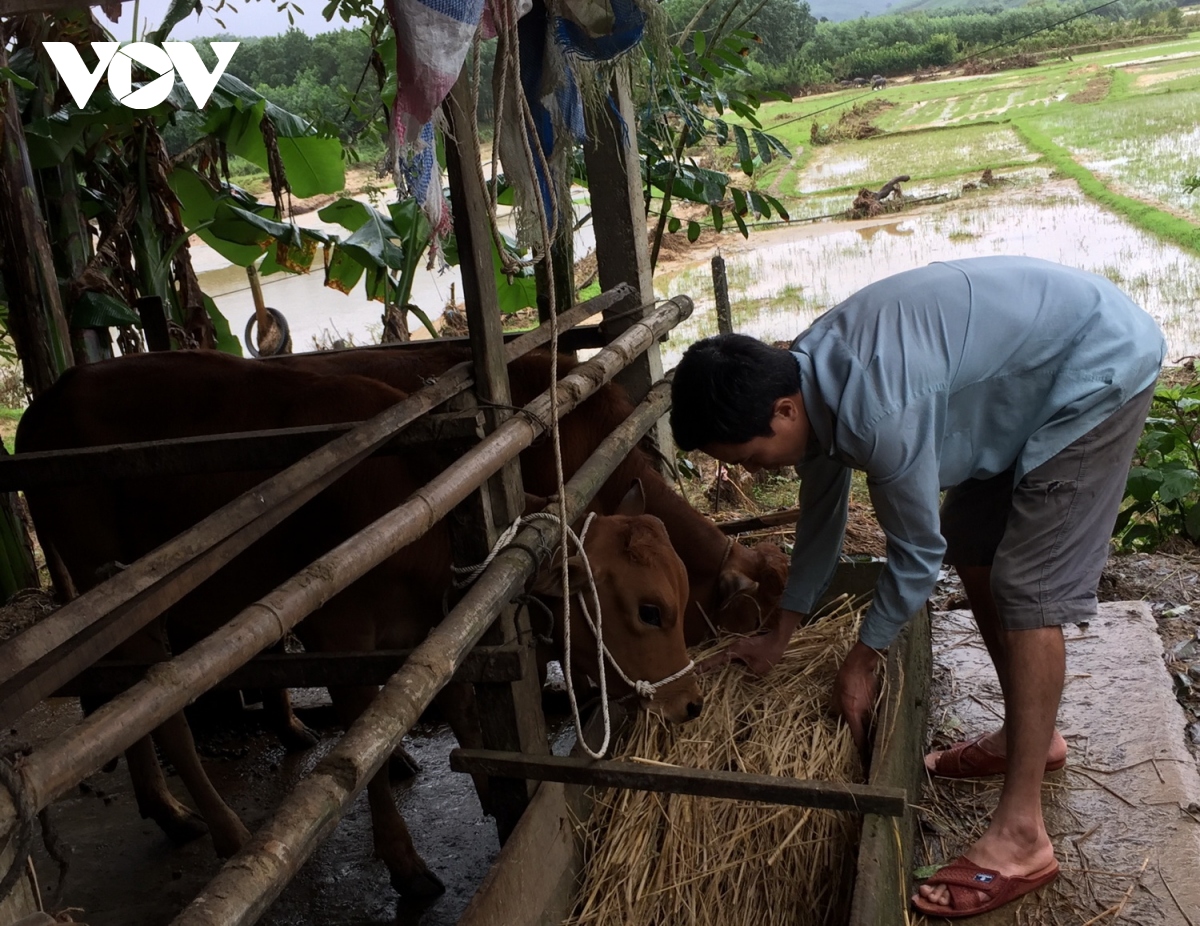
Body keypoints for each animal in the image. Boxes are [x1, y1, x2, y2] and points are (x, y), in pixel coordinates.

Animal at [16, 352, 700, 897]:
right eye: (649, 611)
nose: (691, 703)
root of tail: (49, 398)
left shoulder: (432, 624)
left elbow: (458, 701)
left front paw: (487, 788)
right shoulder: (338, 636)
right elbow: (359, 744)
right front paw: (404, 861)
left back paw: (163, 806)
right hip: (122, 599)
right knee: (160, 716)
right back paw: (221, 827)